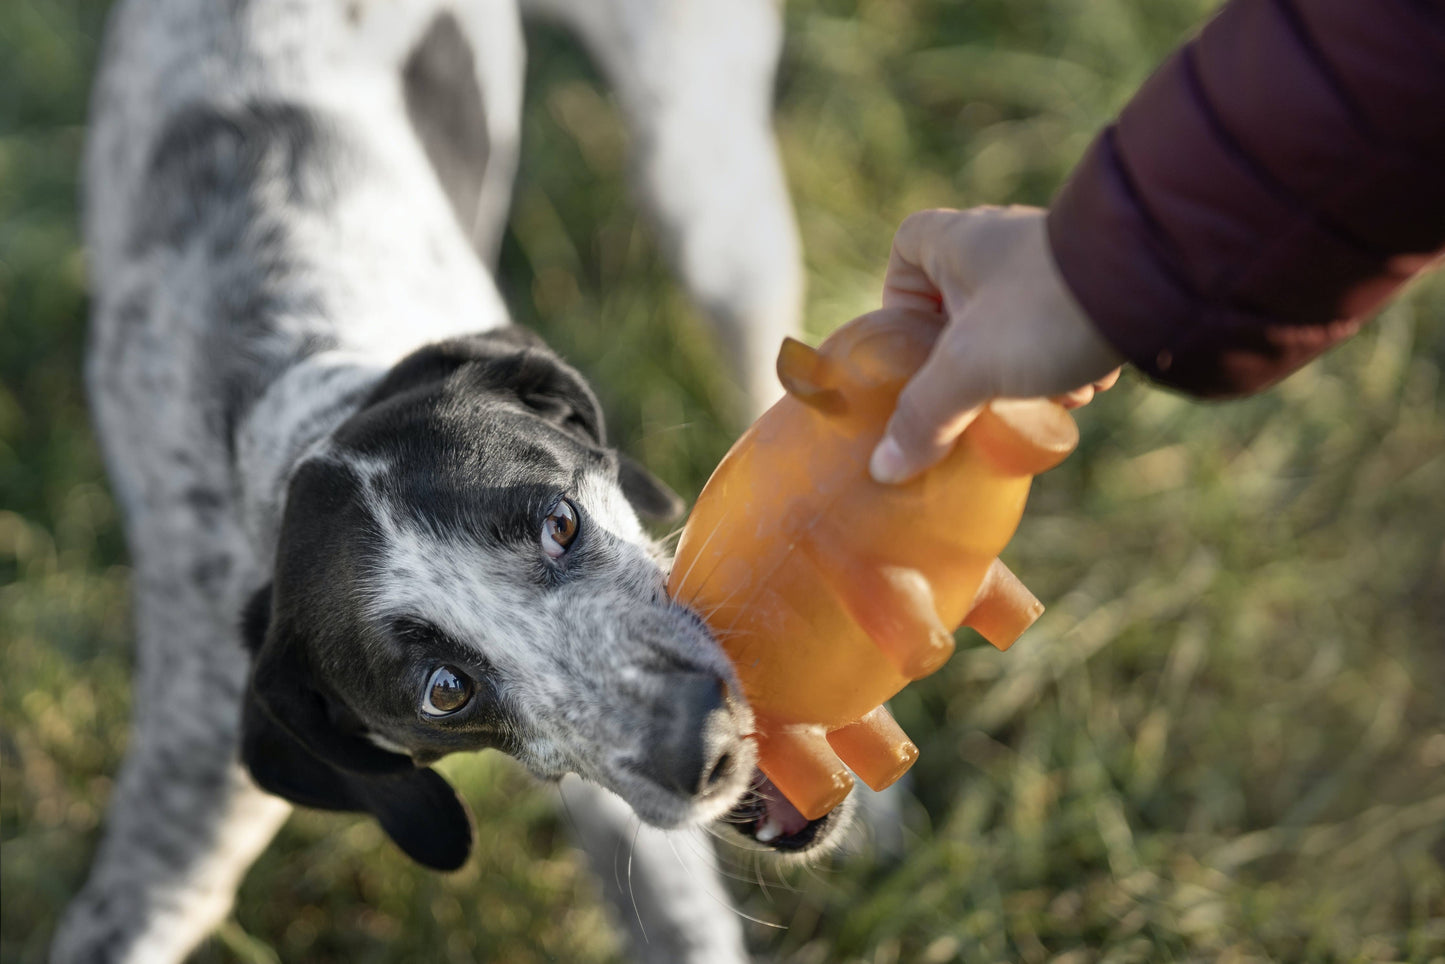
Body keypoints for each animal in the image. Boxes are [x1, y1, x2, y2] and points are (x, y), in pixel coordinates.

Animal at [56, 0, 843, 959]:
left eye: (559, 523)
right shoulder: (165, 853)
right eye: (443, 691)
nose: (705, 746)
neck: (278, 386)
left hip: (709, 200)